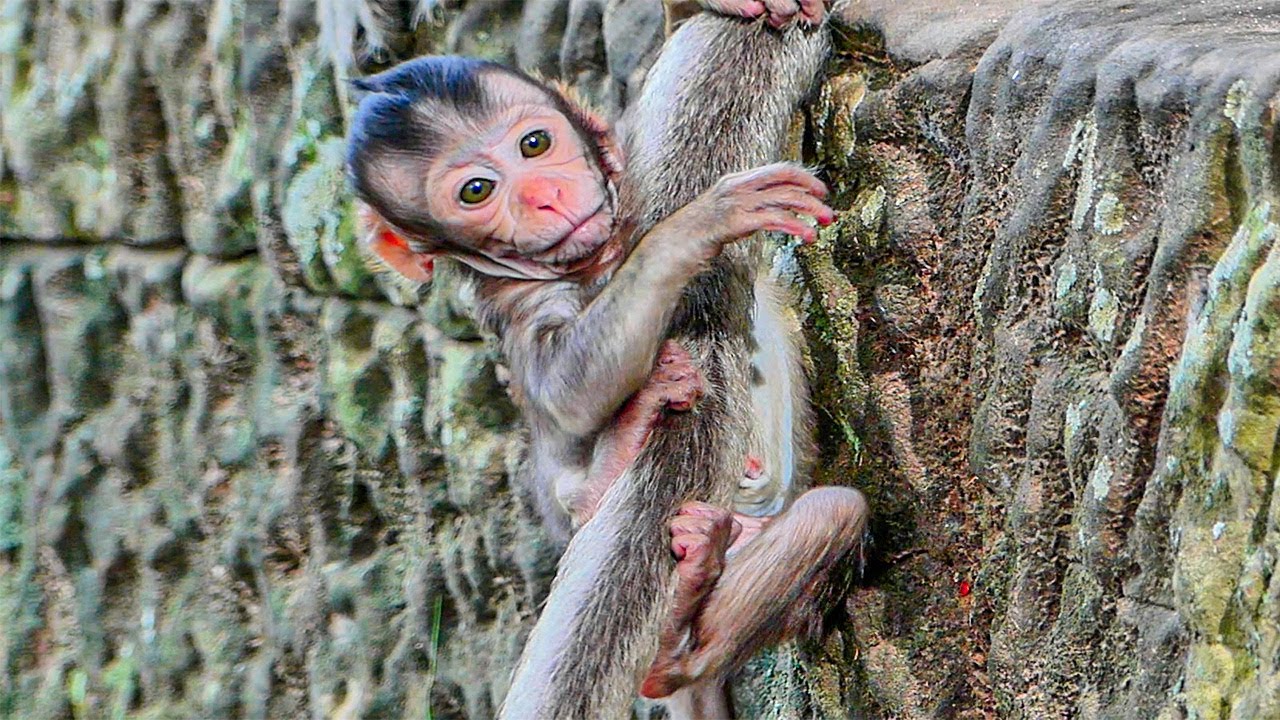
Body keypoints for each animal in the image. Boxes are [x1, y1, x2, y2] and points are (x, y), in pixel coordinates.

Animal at [345, 12, 868, 716]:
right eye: (477, 190)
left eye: (535, 144)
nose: (545, 194)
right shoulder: (522, 304)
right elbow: (564, 389)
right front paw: (693, 229)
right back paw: (679, 635)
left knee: (826, 513)